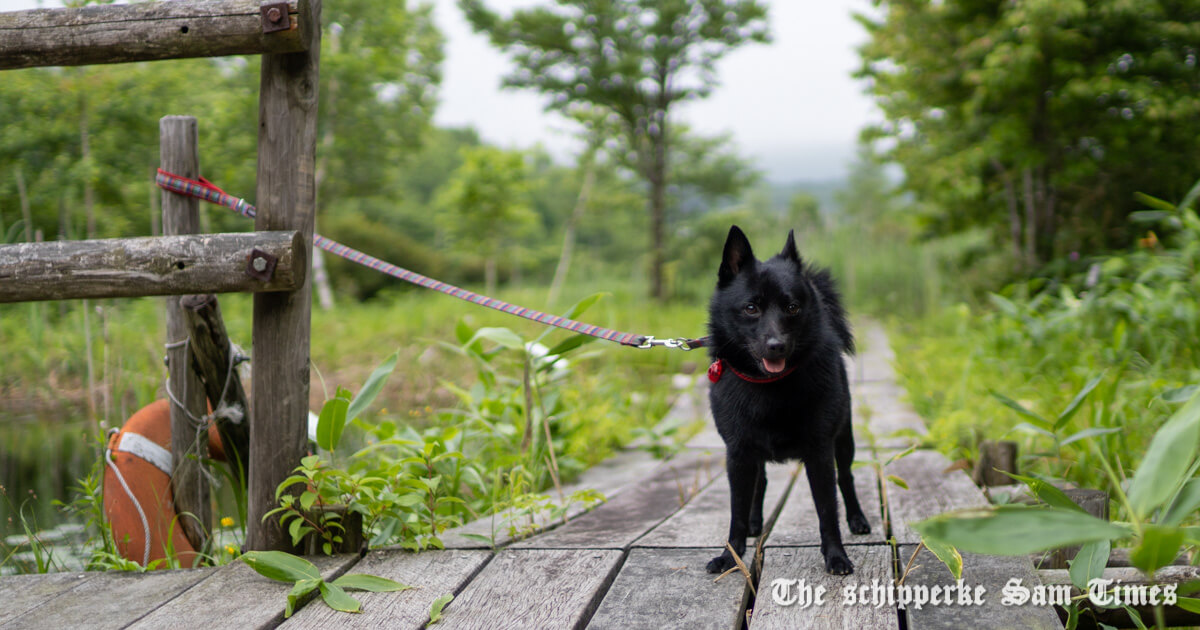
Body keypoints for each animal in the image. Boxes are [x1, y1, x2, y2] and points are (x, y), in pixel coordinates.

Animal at [705, 224, 868, 573]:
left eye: (792, 307)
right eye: (751, 308)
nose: (776, 345)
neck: (770, 386)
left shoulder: (820, 453)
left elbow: (827, 511)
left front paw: (836, 556)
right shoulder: (738, 454)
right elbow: (736, 512)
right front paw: (730, 556)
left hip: (844, 439)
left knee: (846, 478)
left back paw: (858, 519)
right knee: (761, 483)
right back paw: (756, 523)